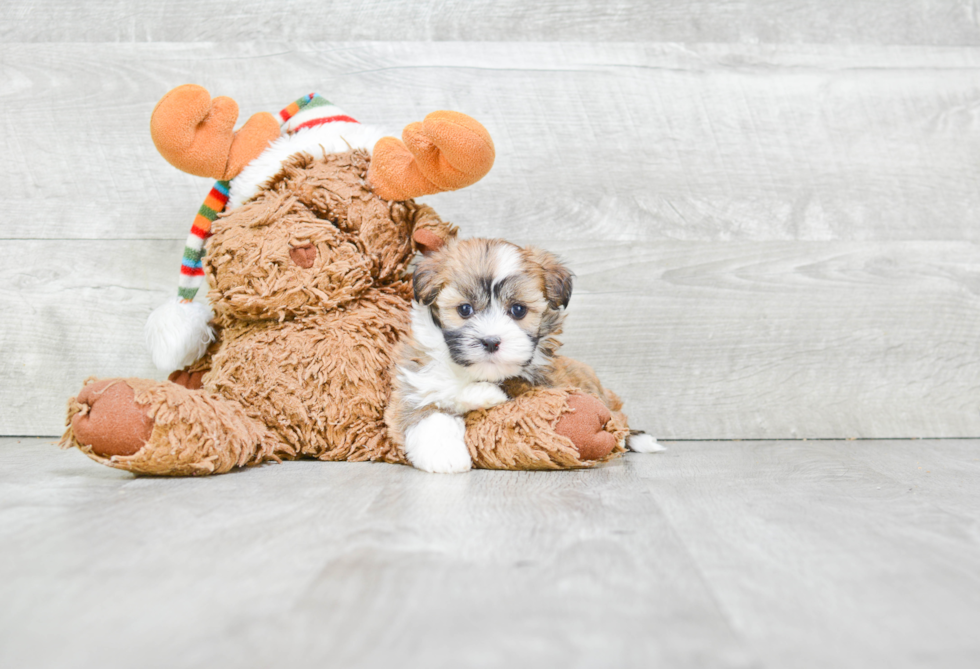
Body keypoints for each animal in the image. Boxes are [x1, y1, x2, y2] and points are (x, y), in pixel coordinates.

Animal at [382, 237, 660, 472]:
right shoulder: (415, 378)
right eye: (464, 309)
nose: (491, 341)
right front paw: (445, 455)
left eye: (518, 310)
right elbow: (428, 404)